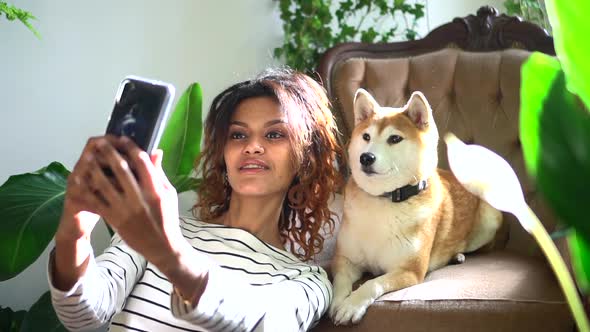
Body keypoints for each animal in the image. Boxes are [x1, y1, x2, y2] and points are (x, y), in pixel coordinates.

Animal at [328, 89, 504, 326]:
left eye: (394, 138)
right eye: (366, 137)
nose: (366, 157)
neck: (384, 200)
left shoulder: (409, 271)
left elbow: (372, 283)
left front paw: (351, 305)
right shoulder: (345, 260)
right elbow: (338, 283)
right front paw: (338, 303)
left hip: (489, 217)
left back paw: (457, 255)